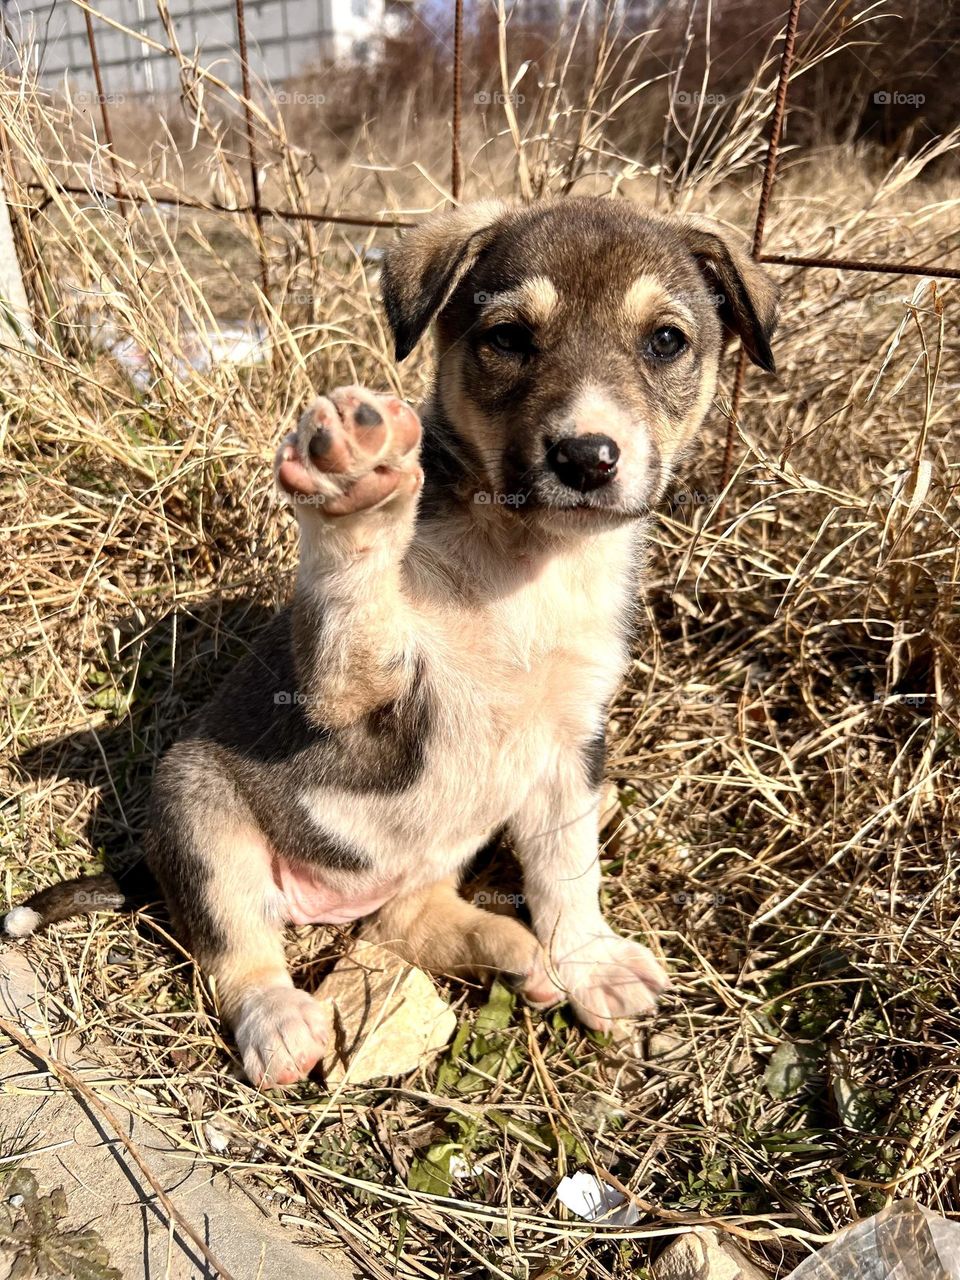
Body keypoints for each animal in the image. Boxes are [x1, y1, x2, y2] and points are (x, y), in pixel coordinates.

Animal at [3, 197, 778, 1090]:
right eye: (509, 338)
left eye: (665, 341)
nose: (586, 457)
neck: (526, 562)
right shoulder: (352, 691)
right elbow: (357, 593)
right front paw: (359, 495)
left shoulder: (572, 741)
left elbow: (569, 868)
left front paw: (590, 961)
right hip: (196, 806)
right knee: (235, 945)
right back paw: (279, 1021)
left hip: (438, 848)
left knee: (401, 920)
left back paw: (513, 952)